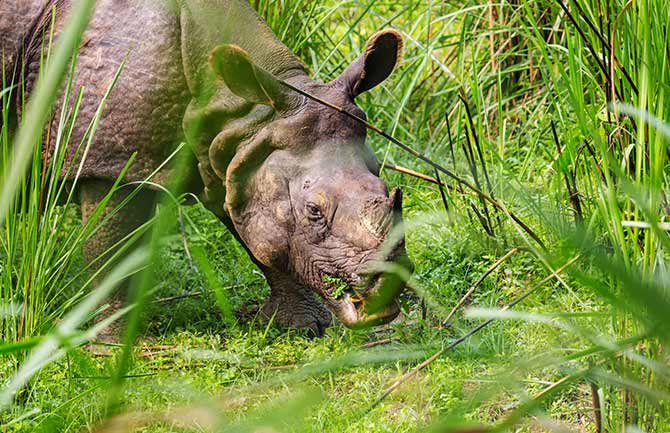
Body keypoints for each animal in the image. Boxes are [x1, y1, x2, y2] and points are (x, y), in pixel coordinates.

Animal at [0, 0, 413, 334]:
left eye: (384, 186)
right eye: (313, 211)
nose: (387, 287)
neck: (239, 107)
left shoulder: (235, 151)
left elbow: (253, 230)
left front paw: (302, 325)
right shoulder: (109, 163)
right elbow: (111, 252)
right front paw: (113, 342)